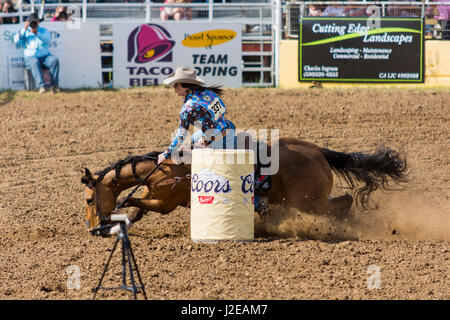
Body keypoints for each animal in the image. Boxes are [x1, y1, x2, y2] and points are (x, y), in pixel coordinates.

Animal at [81, 136, 408, 236]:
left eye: (88, 200)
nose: (93, 229)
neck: (164, 170)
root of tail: (319, 152)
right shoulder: (155, 199)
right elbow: (136, 212)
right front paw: (116, 226)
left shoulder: (165, 204)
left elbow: (131, 203)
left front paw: (111, 221)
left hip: (309, 202)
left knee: (344, 204)